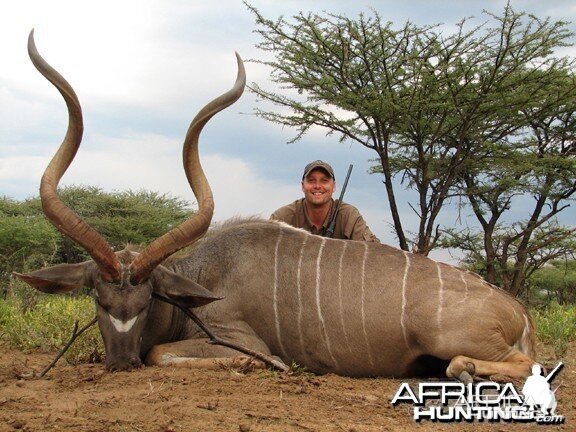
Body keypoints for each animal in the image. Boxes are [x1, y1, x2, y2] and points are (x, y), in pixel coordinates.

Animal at [15, 32, 536, 380]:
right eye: (99, 300)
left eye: (147, 302)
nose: (120, 363)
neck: (204, 277)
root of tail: (516, 309)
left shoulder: (239, 339)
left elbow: (163, 353)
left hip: (451, 336)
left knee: (522, 364)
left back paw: (466, 369)